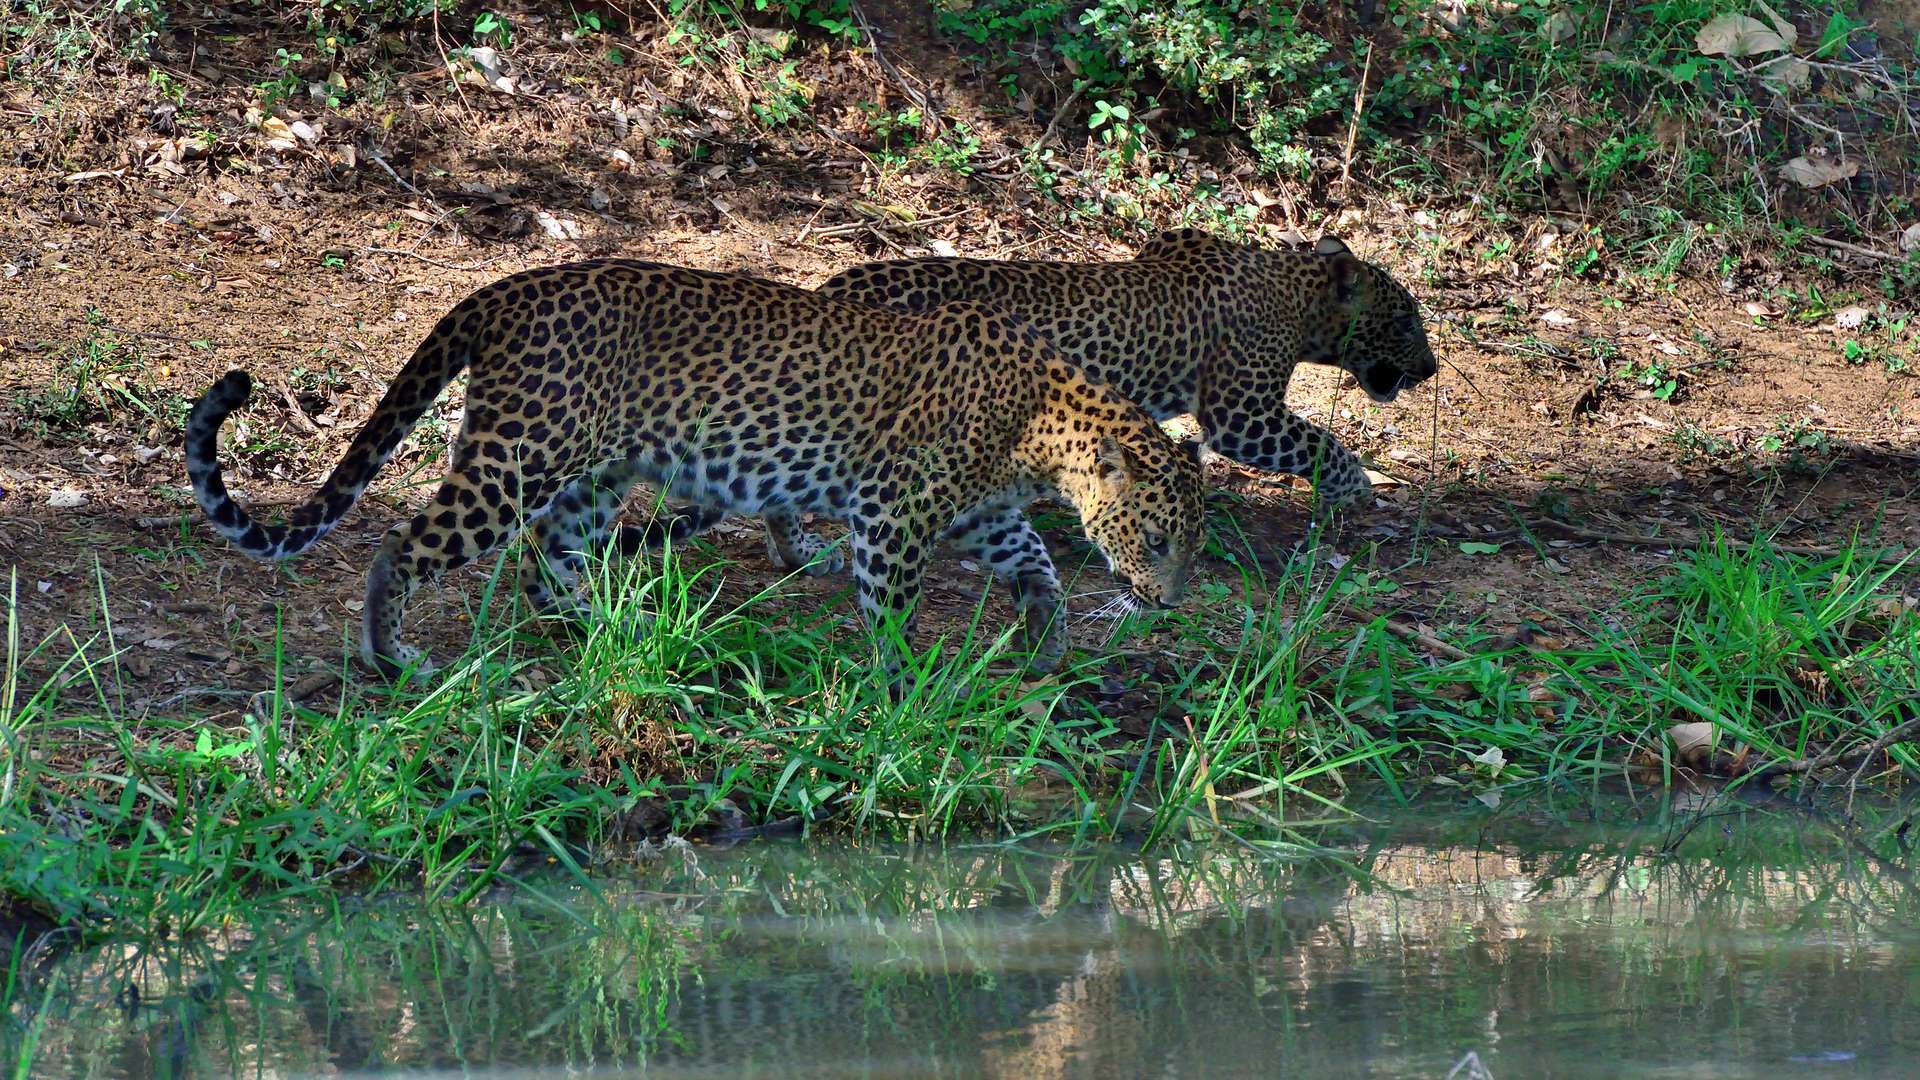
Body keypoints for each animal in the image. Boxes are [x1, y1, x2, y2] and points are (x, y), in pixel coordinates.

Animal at [180, 255, 1198, 676]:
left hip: (593, 470)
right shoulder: (894, 514)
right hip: (521, 455)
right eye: (1156, 535)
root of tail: (504, 289)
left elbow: (1038, 567)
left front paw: (1047, 644)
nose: (1169, 600)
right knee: (406, 543)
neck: (1044, 424)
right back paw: (392, 657)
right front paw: (904, 682)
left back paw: (603, 628)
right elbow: (893, 604)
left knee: (551, 554)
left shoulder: (985, 512)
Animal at [622, 227, 1436, 580]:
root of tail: (834, 286)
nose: (1430, 368)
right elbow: (1317, 440)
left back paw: (798, 553)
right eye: (1406, 320)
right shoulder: (1245, 413)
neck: (1296, 290)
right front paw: (1354, 488)